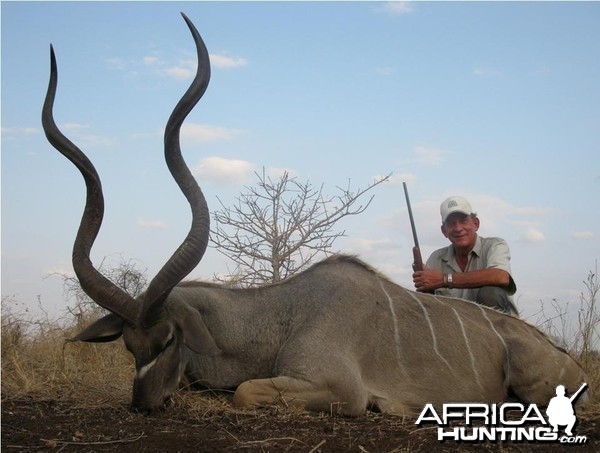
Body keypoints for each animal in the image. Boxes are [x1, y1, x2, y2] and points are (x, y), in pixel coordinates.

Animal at [43, 13, 592, 416]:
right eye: (129, 347)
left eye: (167, 339)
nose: (143, 404)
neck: (277, 314)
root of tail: (571, 362)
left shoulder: (338, 388)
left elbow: (245, 390)